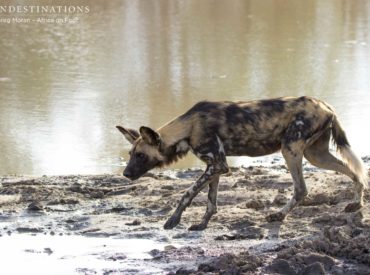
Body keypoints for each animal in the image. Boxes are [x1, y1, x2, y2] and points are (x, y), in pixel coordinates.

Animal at [116, 96, 368, 231]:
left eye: (140, 156)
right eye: (130, 153)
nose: (126, 174)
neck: (188, 127)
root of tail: (326, 105)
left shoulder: (217, 166)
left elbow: (187, 193)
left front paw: (173, 219)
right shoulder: (215, 167)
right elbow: (211, 201)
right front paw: (202, 224)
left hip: (290, 150)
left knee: (301, 189)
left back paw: (278, 216)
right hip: (316, 156)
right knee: (355, 172)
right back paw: (356, 204)